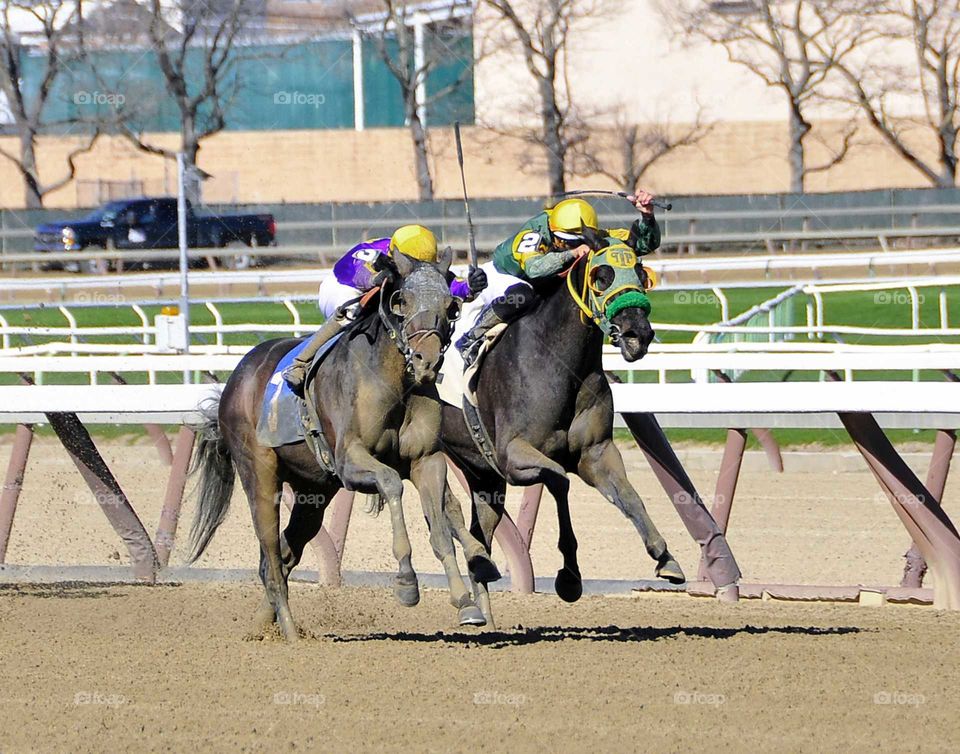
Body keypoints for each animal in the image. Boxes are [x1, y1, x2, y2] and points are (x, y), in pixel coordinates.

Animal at [184, 250, 484, 636]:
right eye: (402, 301)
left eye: (451, 306)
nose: (426, 361)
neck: (391, 381)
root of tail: (236, 378)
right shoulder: (349, 460)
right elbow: (391, 483)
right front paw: (406, 582)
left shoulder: (425, 459)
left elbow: (442, 525)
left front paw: (466, 602)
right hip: (260, 476)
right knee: (270, 555)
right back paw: (291, 633)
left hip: (314, 491)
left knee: (282, 555)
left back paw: (264, 624)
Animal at [438, 244, 688, 624]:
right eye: (602, 277)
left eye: (641, 273)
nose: (638, 335)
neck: (556, 360)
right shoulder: (513, 457)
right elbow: (560, 480)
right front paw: (569, 578)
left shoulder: (595, 452)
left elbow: (629, 497)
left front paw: (665, 557)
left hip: (480, 472)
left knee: (481, 532)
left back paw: (483, 611)